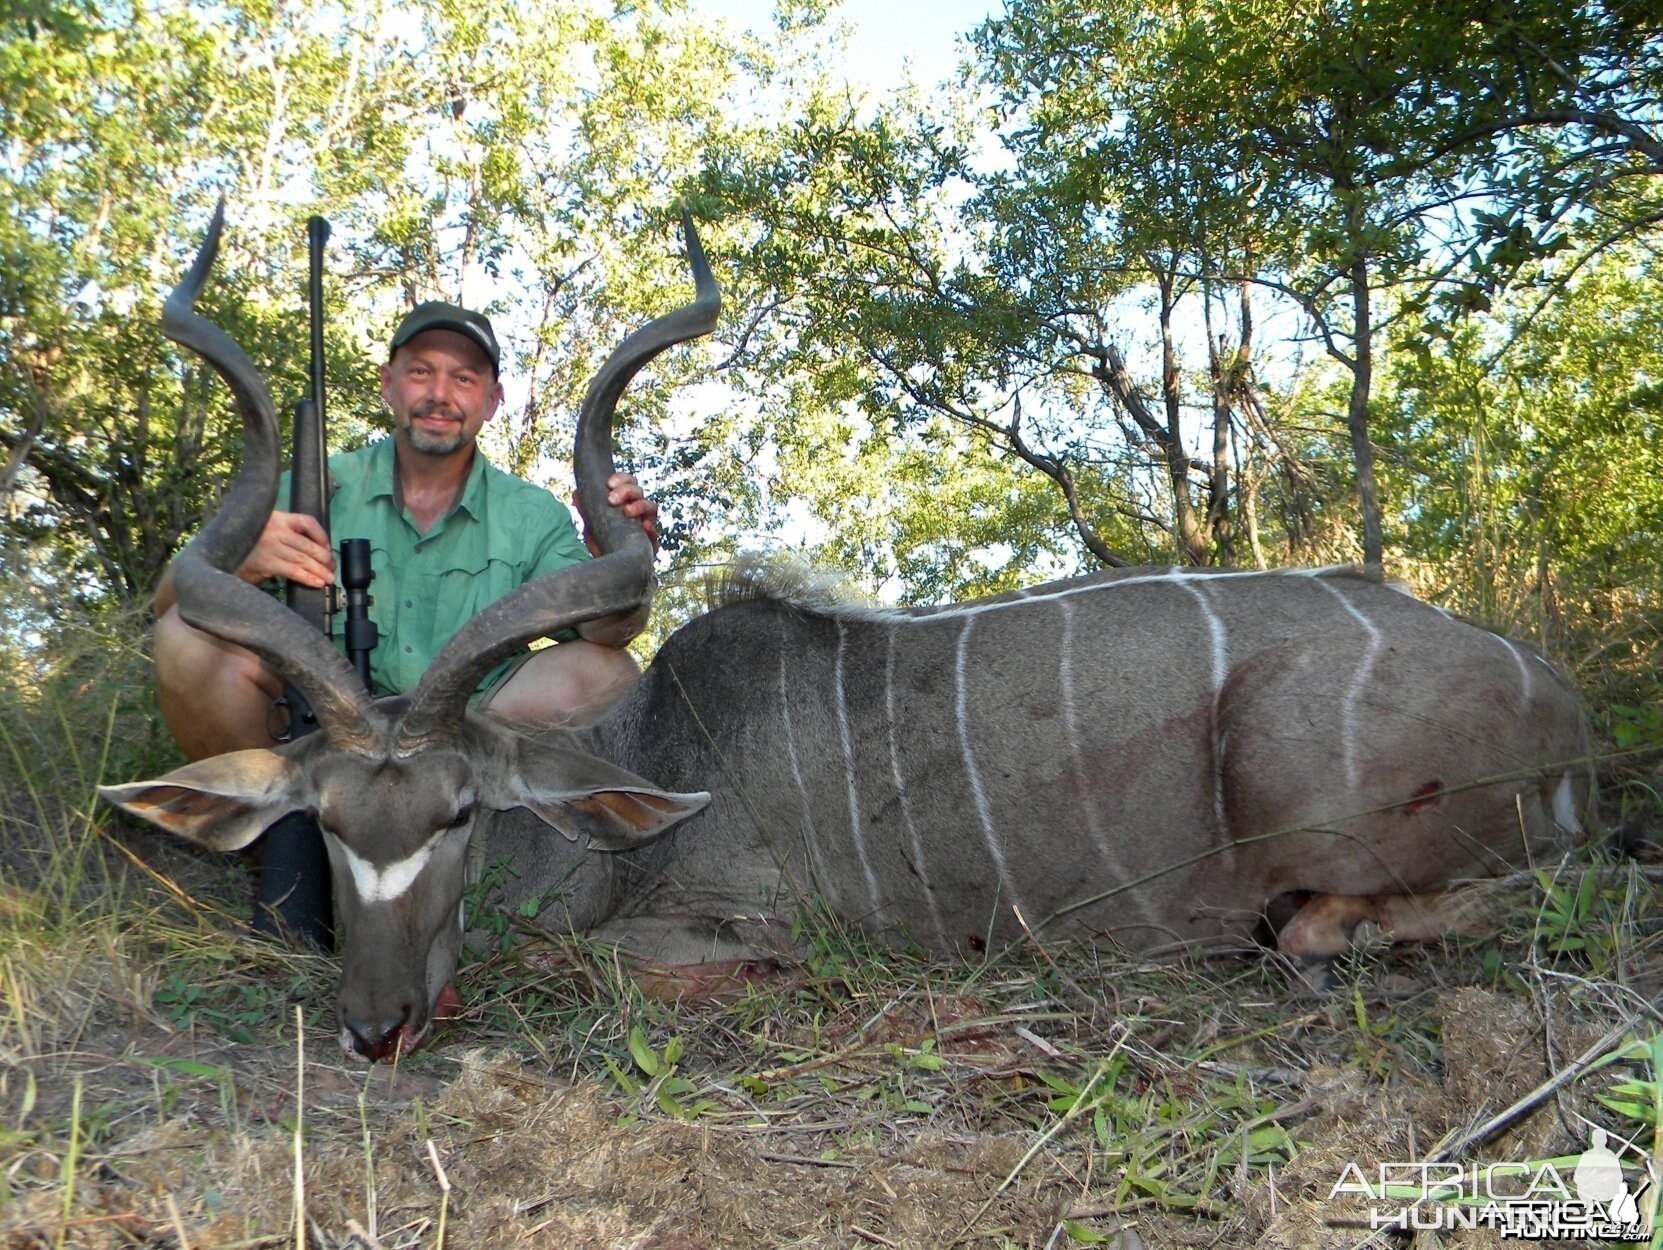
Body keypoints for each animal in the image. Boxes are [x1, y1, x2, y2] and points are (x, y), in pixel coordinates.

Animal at [100, 210, 1583, 1057]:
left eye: (458, 812)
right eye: (329, 822)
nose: (373, 1026)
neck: (659, 756)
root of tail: (1550, 694)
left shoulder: (744, 919)